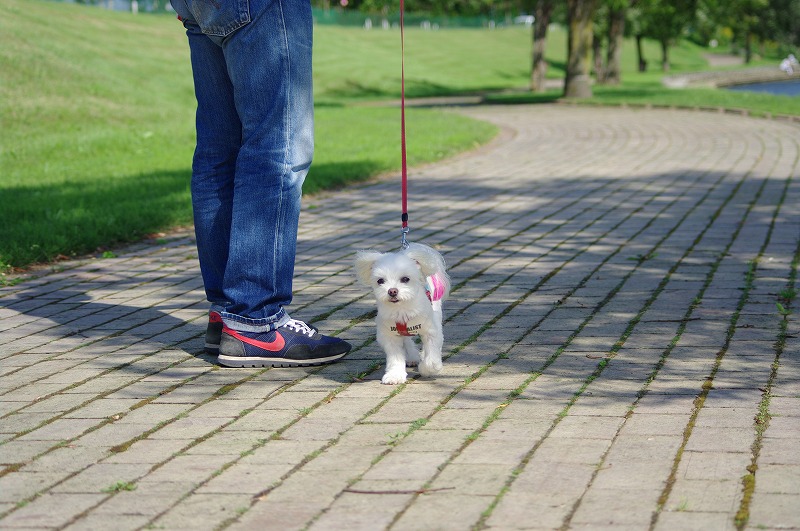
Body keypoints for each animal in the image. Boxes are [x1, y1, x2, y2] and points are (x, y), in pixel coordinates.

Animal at [354, 243, 450, 385]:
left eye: (405, 279)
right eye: (380, 281)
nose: (392, 291)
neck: (402, 310)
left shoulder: (431, 331)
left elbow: (431, 357)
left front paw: (426, 369)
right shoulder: (389, 335)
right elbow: (395, 358)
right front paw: (395, 375)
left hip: (436, 310)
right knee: (407, 340)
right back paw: (412, 356)